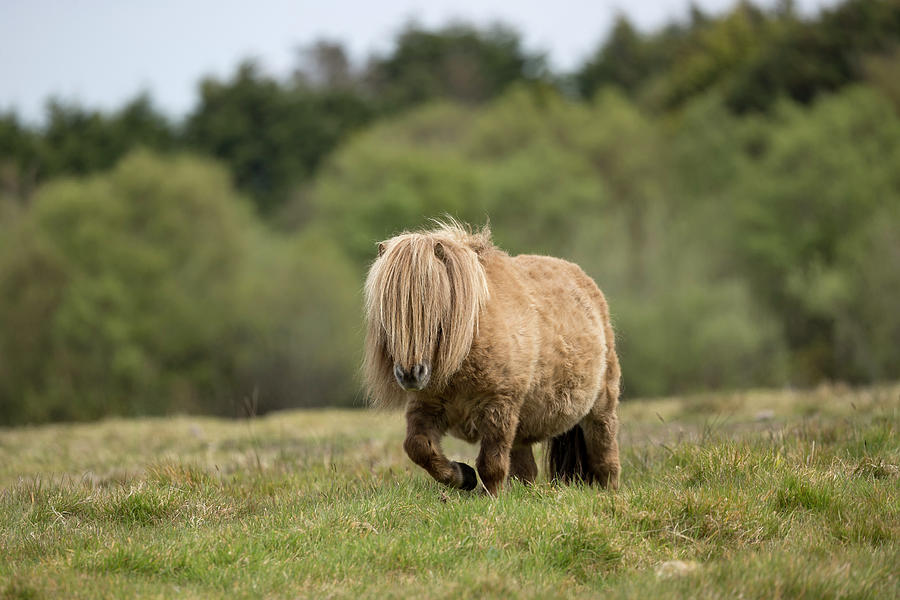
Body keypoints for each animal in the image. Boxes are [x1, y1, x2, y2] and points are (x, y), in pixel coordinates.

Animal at [363, 220, 620, 496]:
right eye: (386, 315)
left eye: (435, 313)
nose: (411, 374)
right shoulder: (426, 407)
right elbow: (418, 448)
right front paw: (463, 476)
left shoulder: (499, 407)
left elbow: (491, 464)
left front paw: (490, 498)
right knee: (525, 471)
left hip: (600, 410)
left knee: (605, 457)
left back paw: (609, 491)